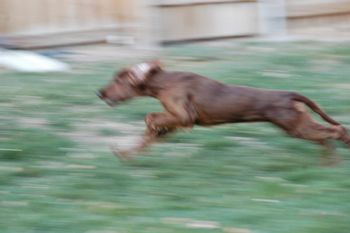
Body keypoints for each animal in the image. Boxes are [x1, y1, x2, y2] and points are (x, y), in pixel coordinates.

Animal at [99, 61, 350, 161]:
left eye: (117, 80)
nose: (99, 93)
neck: (164, 82)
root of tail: (289, 94)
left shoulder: (183, 116)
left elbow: (150, 118)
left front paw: (149, 128)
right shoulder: (177, 120)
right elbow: (147, 138)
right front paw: (124, 153)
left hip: (295, 126)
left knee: (337, 129)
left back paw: (337, 156)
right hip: (298, 125)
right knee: (328, 135)